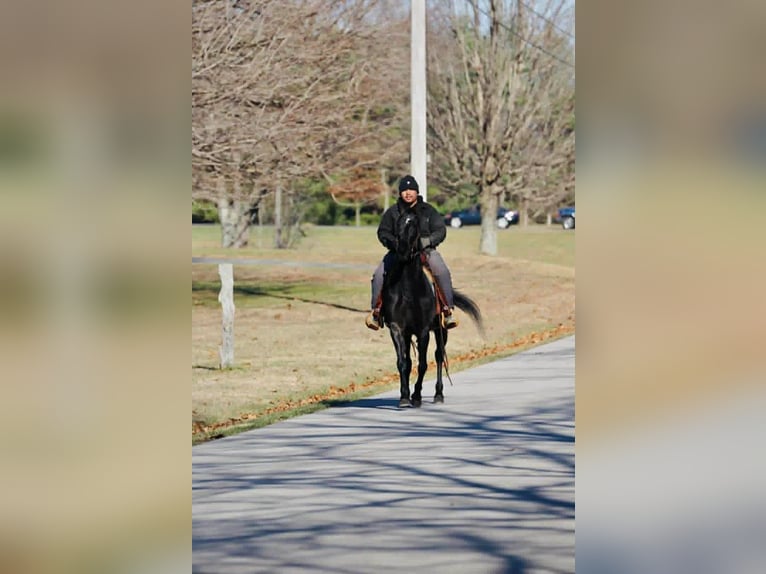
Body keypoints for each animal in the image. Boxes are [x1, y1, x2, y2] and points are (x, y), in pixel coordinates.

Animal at [380, 212, 483, 408]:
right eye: (398, 224)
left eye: (414, 226)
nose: (403, 251)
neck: (408, 289)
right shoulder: (397, 329)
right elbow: (403, 363)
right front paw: (405, 396)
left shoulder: (423, 331)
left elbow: (423, 365)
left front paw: (417, 396)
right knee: (411, 360)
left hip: (441, 330)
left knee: (438, 356)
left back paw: (438, 394)